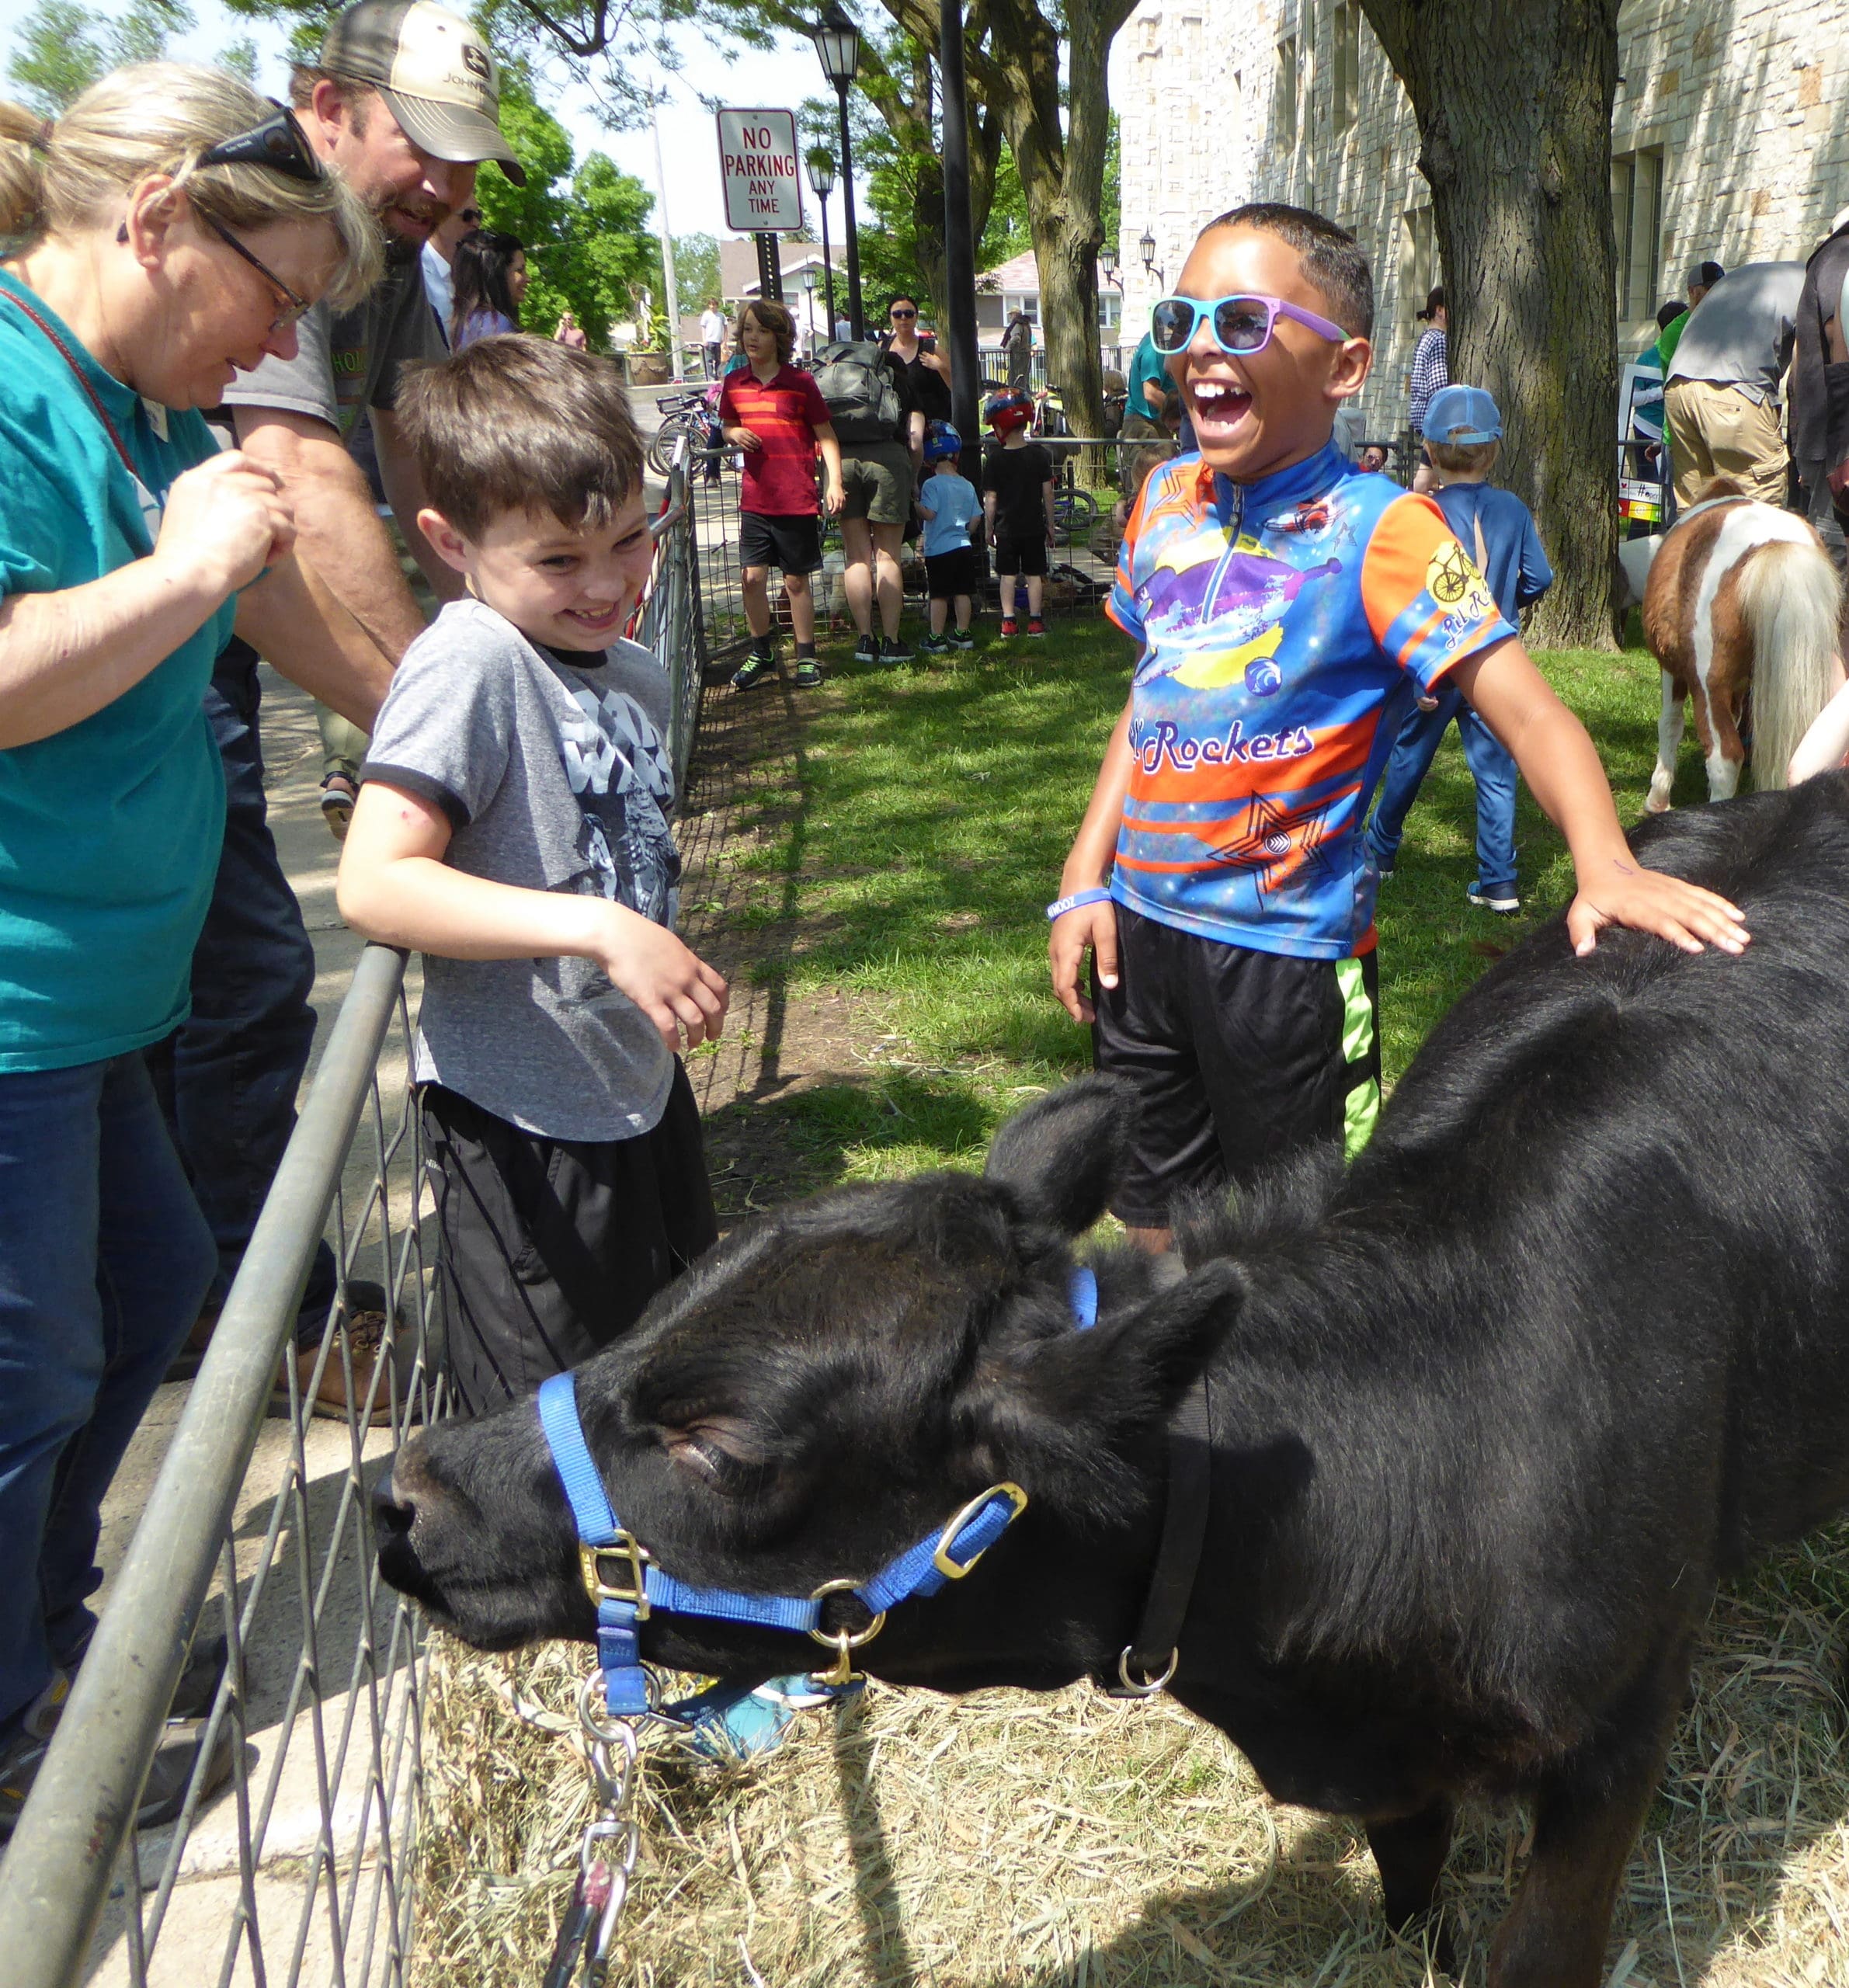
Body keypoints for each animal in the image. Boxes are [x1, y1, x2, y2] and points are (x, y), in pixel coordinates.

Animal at [377, 779, 1849, 1988]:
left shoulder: (1619, 1724)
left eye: (725, 1447)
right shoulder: (1382, 1762)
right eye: (672, 1293)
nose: (409, 1494)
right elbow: (1410, 1876)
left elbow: (1539, 1947)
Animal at [1638, 478, 1837, 807]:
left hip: (1709, 682)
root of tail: (1776, 544)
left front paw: (1657, 800)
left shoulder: (1672, 668)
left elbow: (1669, 723)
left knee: (1725, 758)